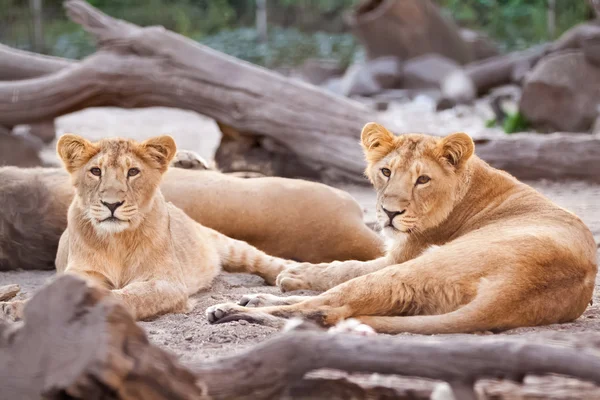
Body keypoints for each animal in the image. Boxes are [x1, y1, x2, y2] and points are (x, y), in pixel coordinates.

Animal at [205, 122, 596, 334]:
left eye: (422, 179)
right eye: (386, 171)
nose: (390, 213)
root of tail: (515, 292)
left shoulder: (399, 256)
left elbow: (344, 267)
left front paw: (294, 273)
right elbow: (345, 269)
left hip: (416, 268)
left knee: (326, 308)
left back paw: (231, 310)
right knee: (334, 308)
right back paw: (252, 299)